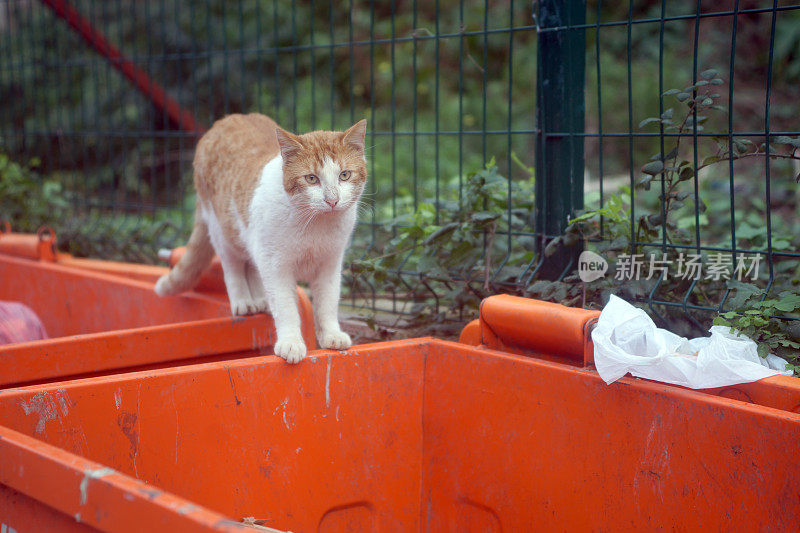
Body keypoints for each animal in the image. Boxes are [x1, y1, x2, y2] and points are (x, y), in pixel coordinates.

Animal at [153, 111, 366, 362]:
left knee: (252, 267)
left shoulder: (329, 264)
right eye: (311, 179)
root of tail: (226, 119)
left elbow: (327, 303)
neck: (315, 225)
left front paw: (331, 335)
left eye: (345, 175)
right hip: (223, 234)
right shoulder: (276, 267)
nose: (332, 200)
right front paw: (291, 343)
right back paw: (244, 302)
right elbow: (285, 307)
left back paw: (260, 300)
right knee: (233, 268)